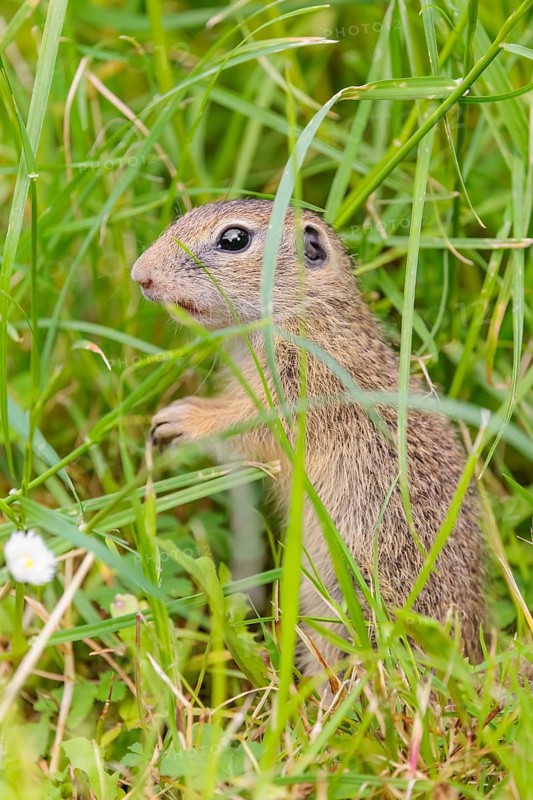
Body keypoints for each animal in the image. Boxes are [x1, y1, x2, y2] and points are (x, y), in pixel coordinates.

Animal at [131, 198, 486, 676]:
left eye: (234, 239)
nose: (140, 275)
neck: (305, 316)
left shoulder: (300, 391)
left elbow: (247, 425)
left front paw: (181, 420)